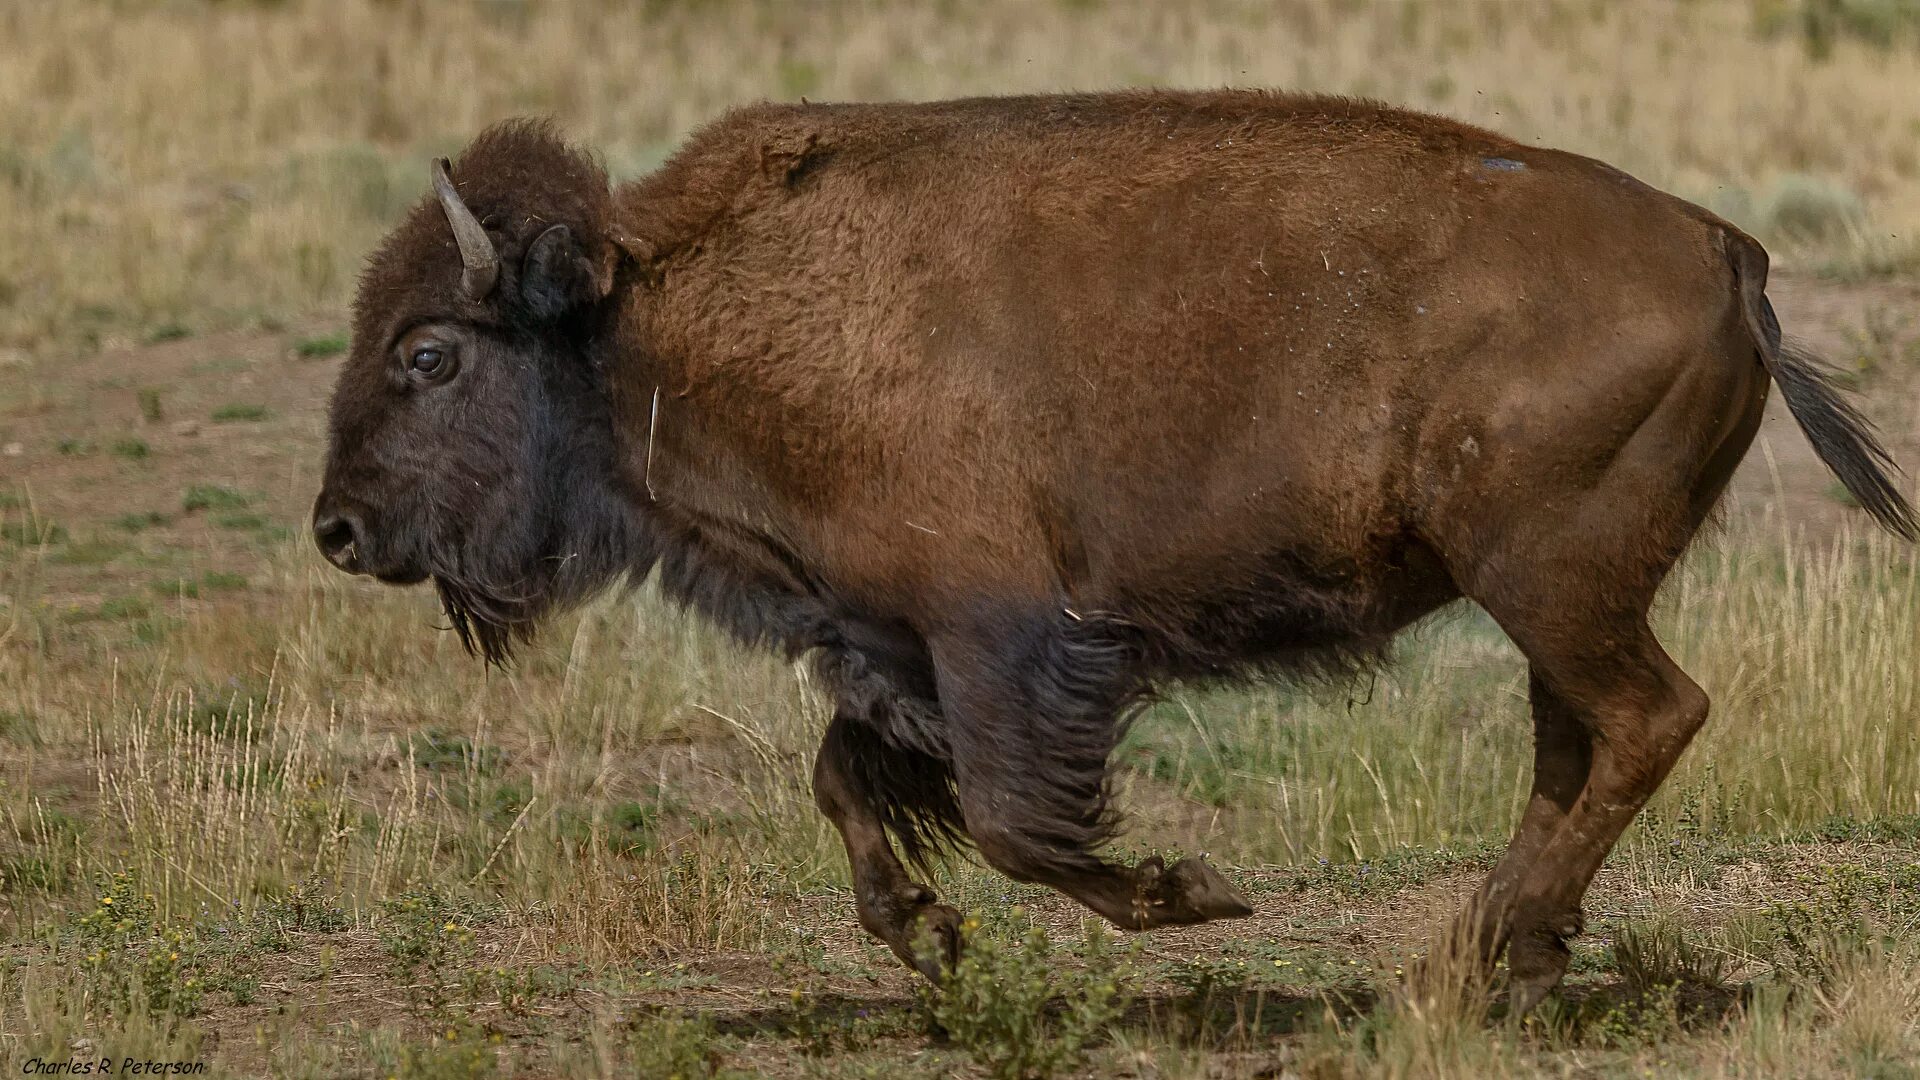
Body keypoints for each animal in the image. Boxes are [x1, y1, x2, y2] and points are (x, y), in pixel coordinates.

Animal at [307, 92, 1912, 1006]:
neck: (656, 320)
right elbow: (852, 779)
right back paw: (1507, 961)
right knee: (1578, 748)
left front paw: (1193, 896)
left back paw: (1457, 965)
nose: (337, 529)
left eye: (431, 352)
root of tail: (1728, 252)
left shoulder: (1000, 635)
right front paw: (928, 942)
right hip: (1552, 603)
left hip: (1553, 586)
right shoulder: (893, 643)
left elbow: (1020, 821)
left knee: (1648, 719)